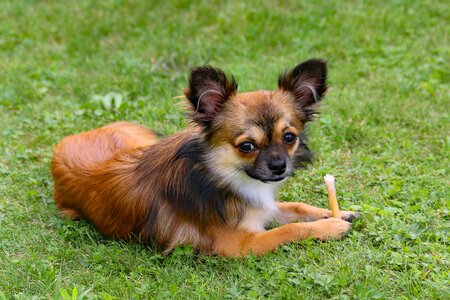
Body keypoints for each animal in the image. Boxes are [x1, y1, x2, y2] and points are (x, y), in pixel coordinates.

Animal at [50, 59, 358, 256]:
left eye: (289, 137)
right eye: (247, 146)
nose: (279, 166)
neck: (224, 176)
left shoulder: (261, 207)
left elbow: (296, 207)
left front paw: (335, 212)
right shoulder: (239, 244)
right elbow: (290, 230)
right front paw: (330, 225)